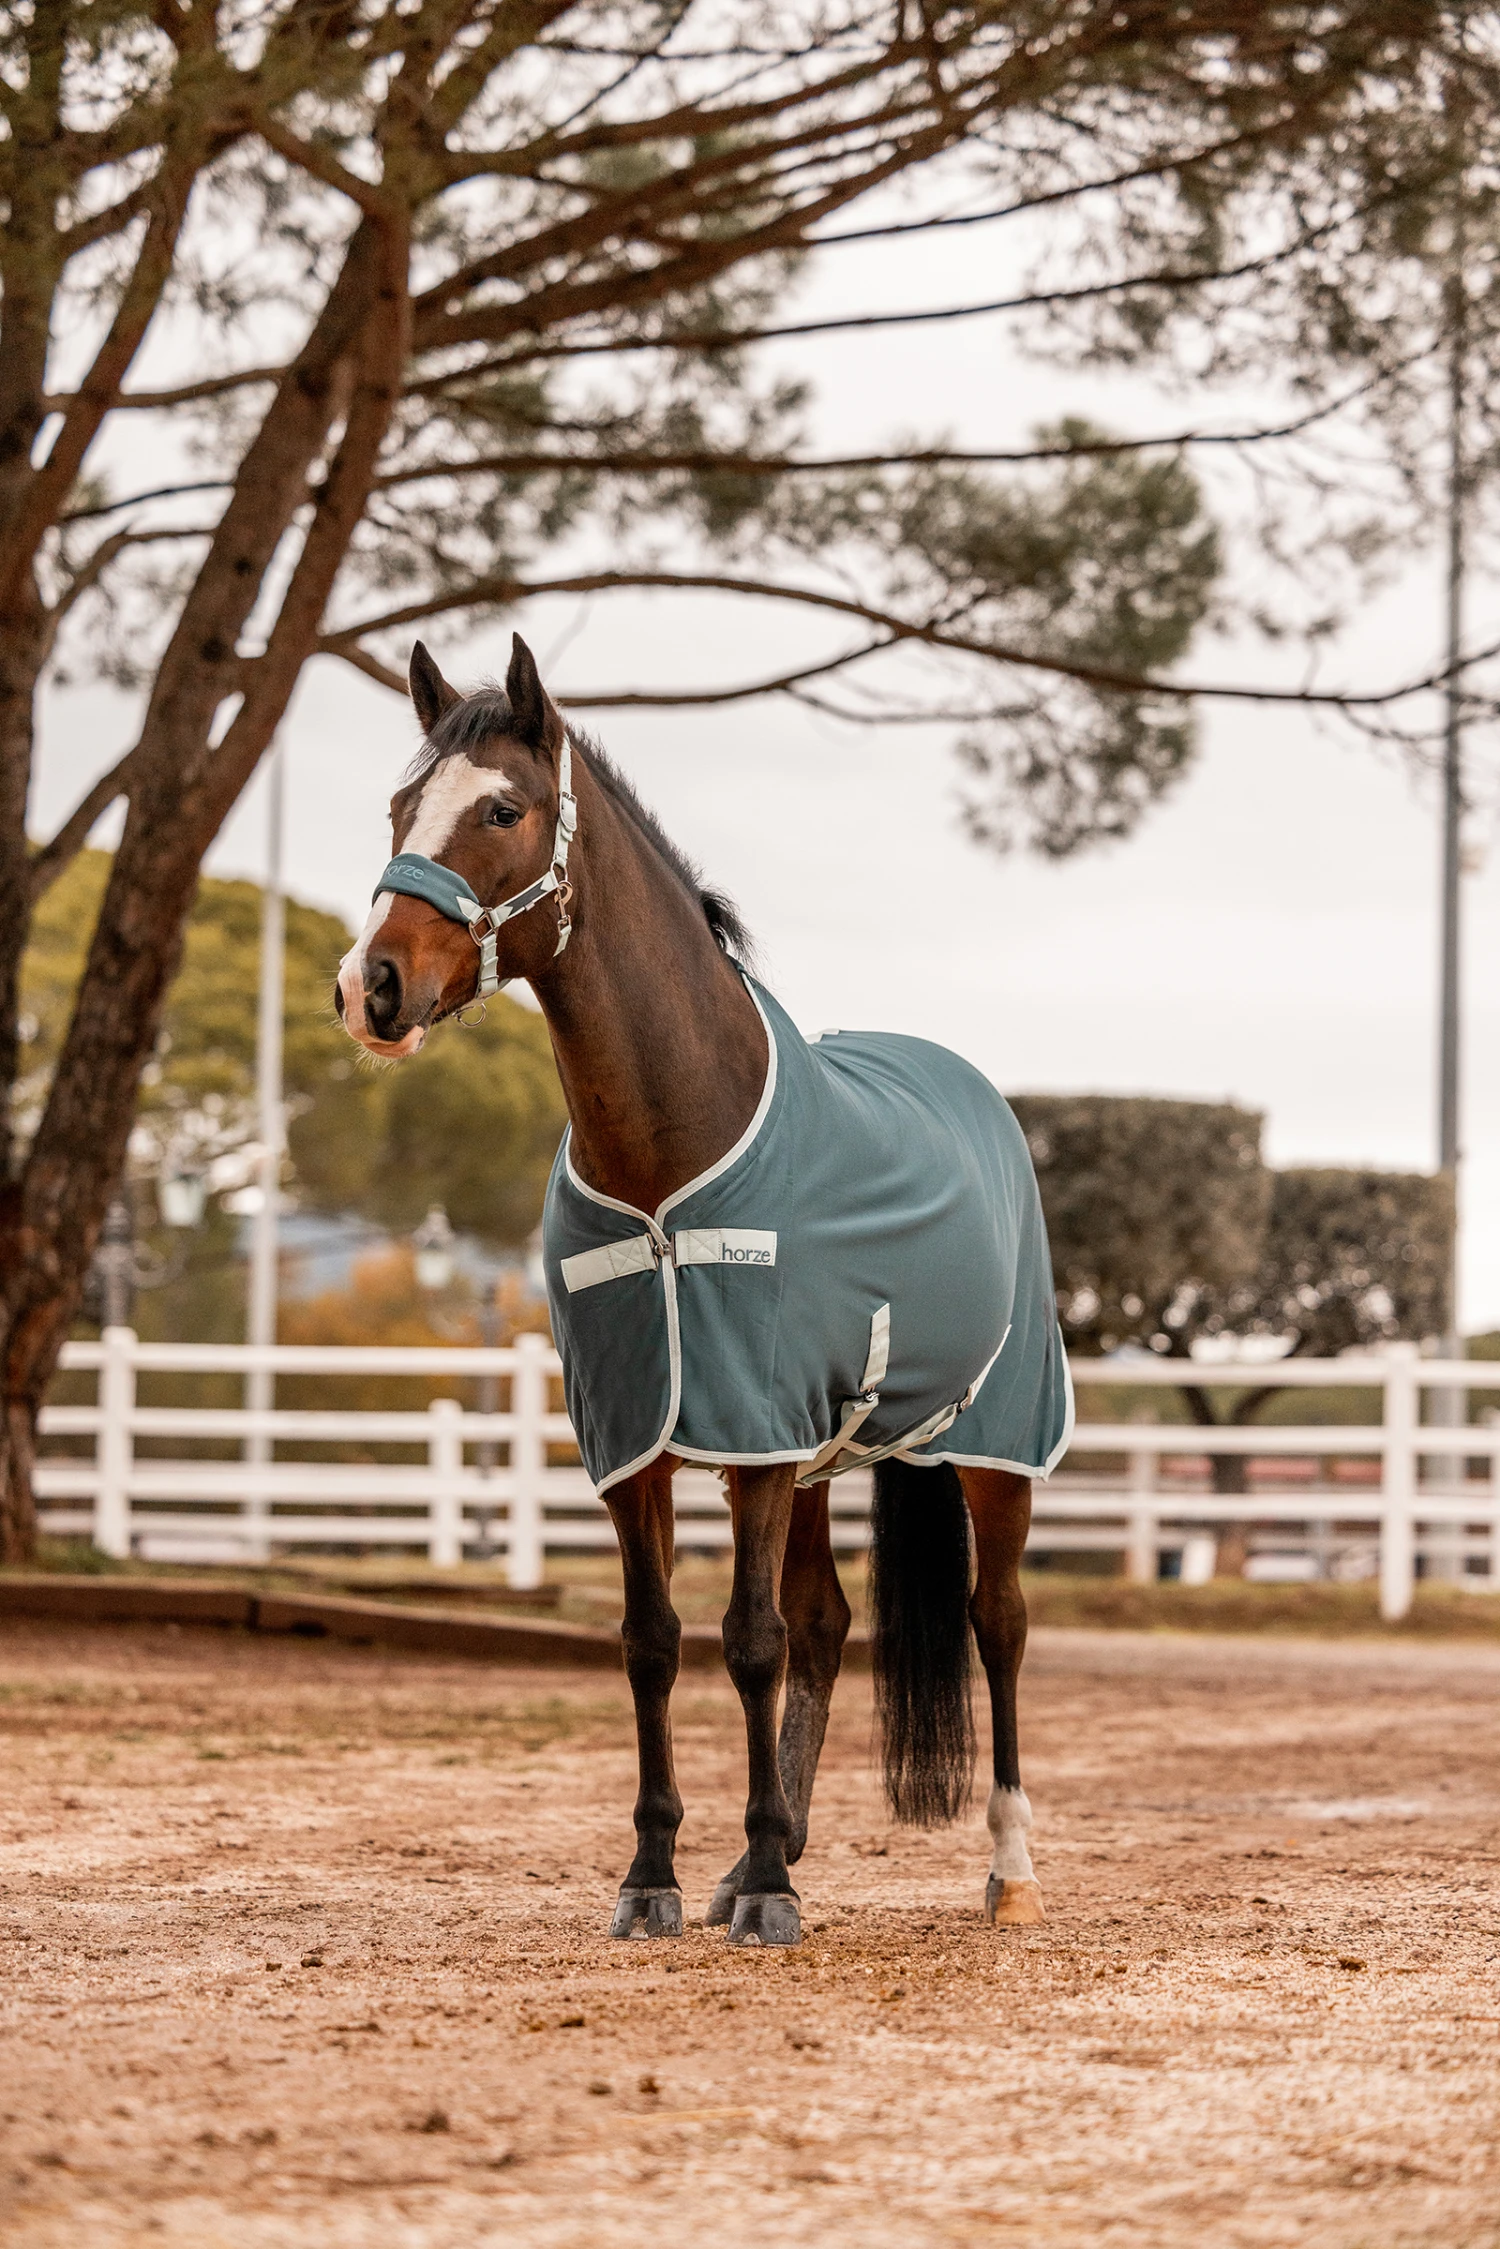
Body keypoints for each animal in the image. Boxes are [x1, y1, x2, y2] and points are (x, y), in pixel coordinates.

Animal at [336, 634, 1073, 1948]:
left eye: (502, 809)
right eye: (396, 806)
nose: (369, 985)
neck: (673, 1147)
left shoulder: (756, 1432)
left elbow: (749, 1638)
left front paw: (770, 1883)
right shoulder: (646, 1435)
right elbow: (654, 1641)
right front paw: (664, 1873)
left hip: (991, 1442)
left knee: (998, 1621)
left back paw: (1007, 1868)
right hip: (823, 1450)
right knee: (831, 1623)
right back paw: (760, 1854)